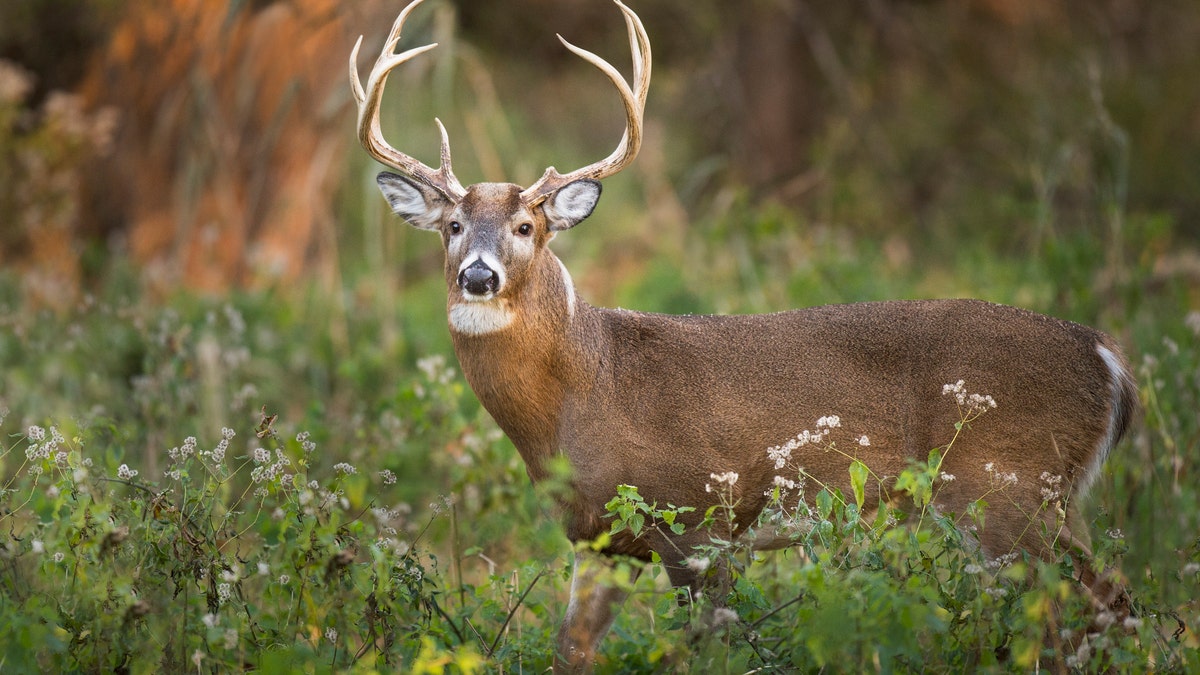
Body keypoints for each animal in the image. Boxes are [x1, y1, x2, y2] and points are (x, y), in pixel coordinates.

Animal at [348, 1, 1132, 667]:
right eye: (453, 225)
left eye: (525, 227)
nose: (478, 276)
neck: (586, 387)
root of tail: (1107, 357)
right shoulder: (596, 539)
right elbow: (570, 650)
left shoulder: (702, 516)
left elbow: (709, 647)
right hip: (1045, 499)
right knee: (1108, 602)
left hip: (1004, 488)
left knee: (1078, 611)